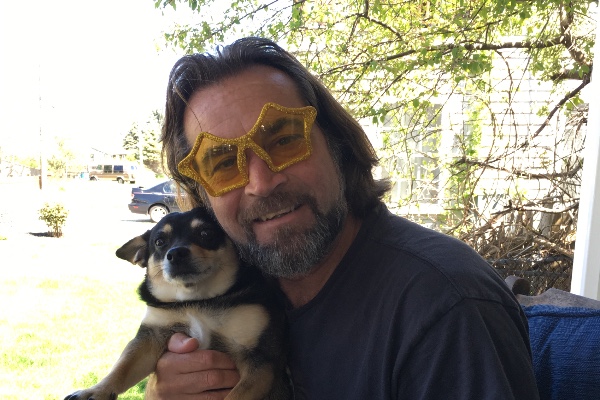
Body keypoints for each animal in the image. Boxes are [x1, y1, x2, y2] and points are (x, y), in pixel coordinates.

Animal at [65, 206, 291, 400]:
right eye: (159, 242)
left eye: (206, 233)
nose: (176, 253)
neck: (196, 300)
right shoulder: (150, 338)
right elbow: (122, 367)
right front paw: (96, 391)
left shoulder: (260, 363)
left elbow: (234, 396)